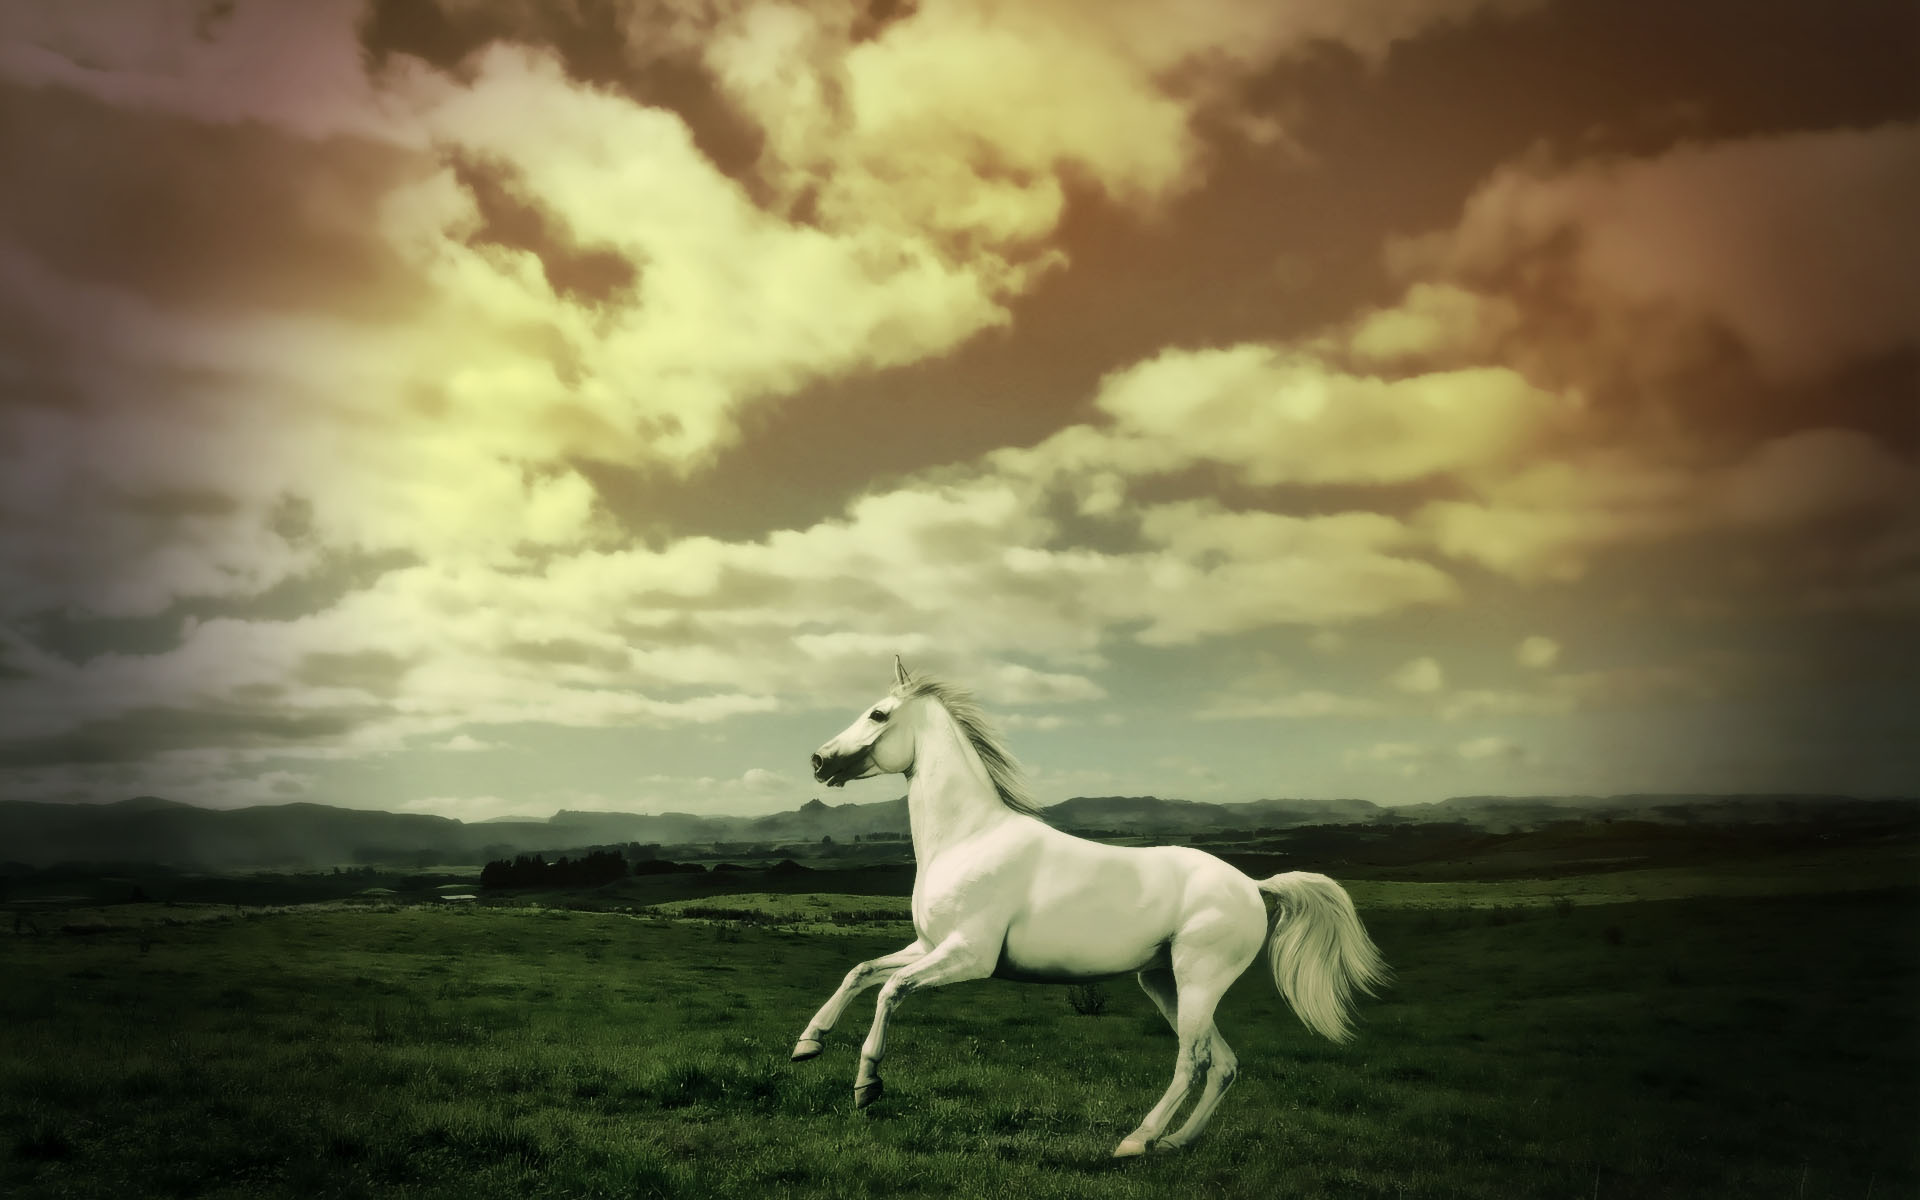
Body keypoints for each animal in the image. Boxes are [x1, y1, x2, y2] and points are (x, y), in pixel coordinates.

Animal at [787, 660, 1390, 1159]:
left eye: (878, 713)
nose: (817, 761)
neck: (969, 838)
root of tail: (1251, 884)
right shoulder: (930, 945)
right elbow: (861, 972)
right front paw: (807, 1045)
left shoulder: (969, 957)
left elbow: (891, 990)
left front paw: (867, 1087)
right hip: (1164, 982)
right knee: (1223, 1065)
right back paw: (1174, 1145)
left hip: (1200, 978)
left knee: (1192, 1060)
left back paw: (1135, 1142)